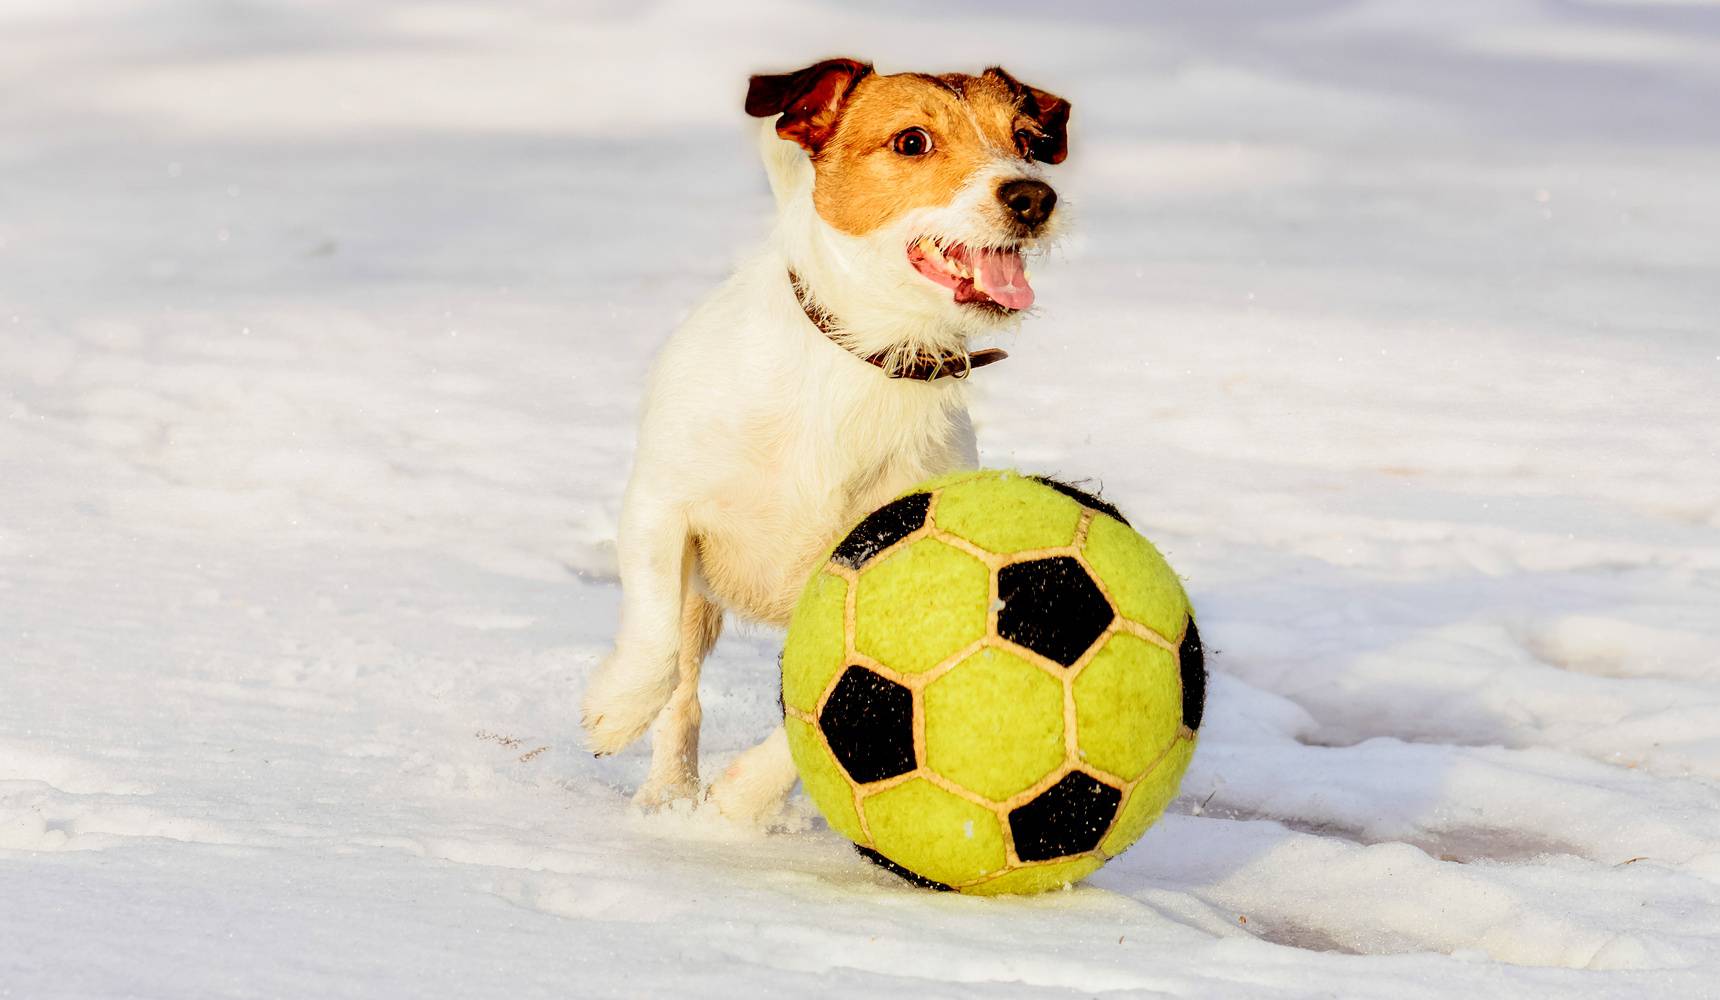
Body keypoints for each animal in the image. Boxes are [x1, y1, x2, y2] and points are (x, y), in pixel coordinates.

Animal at [588, 58, 1073, 819]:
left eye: (1026, 139)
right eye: (912, 142)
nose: (1032, 196)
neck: (866, 360)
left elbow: (824, 712)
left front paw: (744, 799)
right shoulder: (660, 508)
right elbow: (655, 639)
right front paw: (617, 709)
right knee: (684, 692)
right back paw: (667, 793)